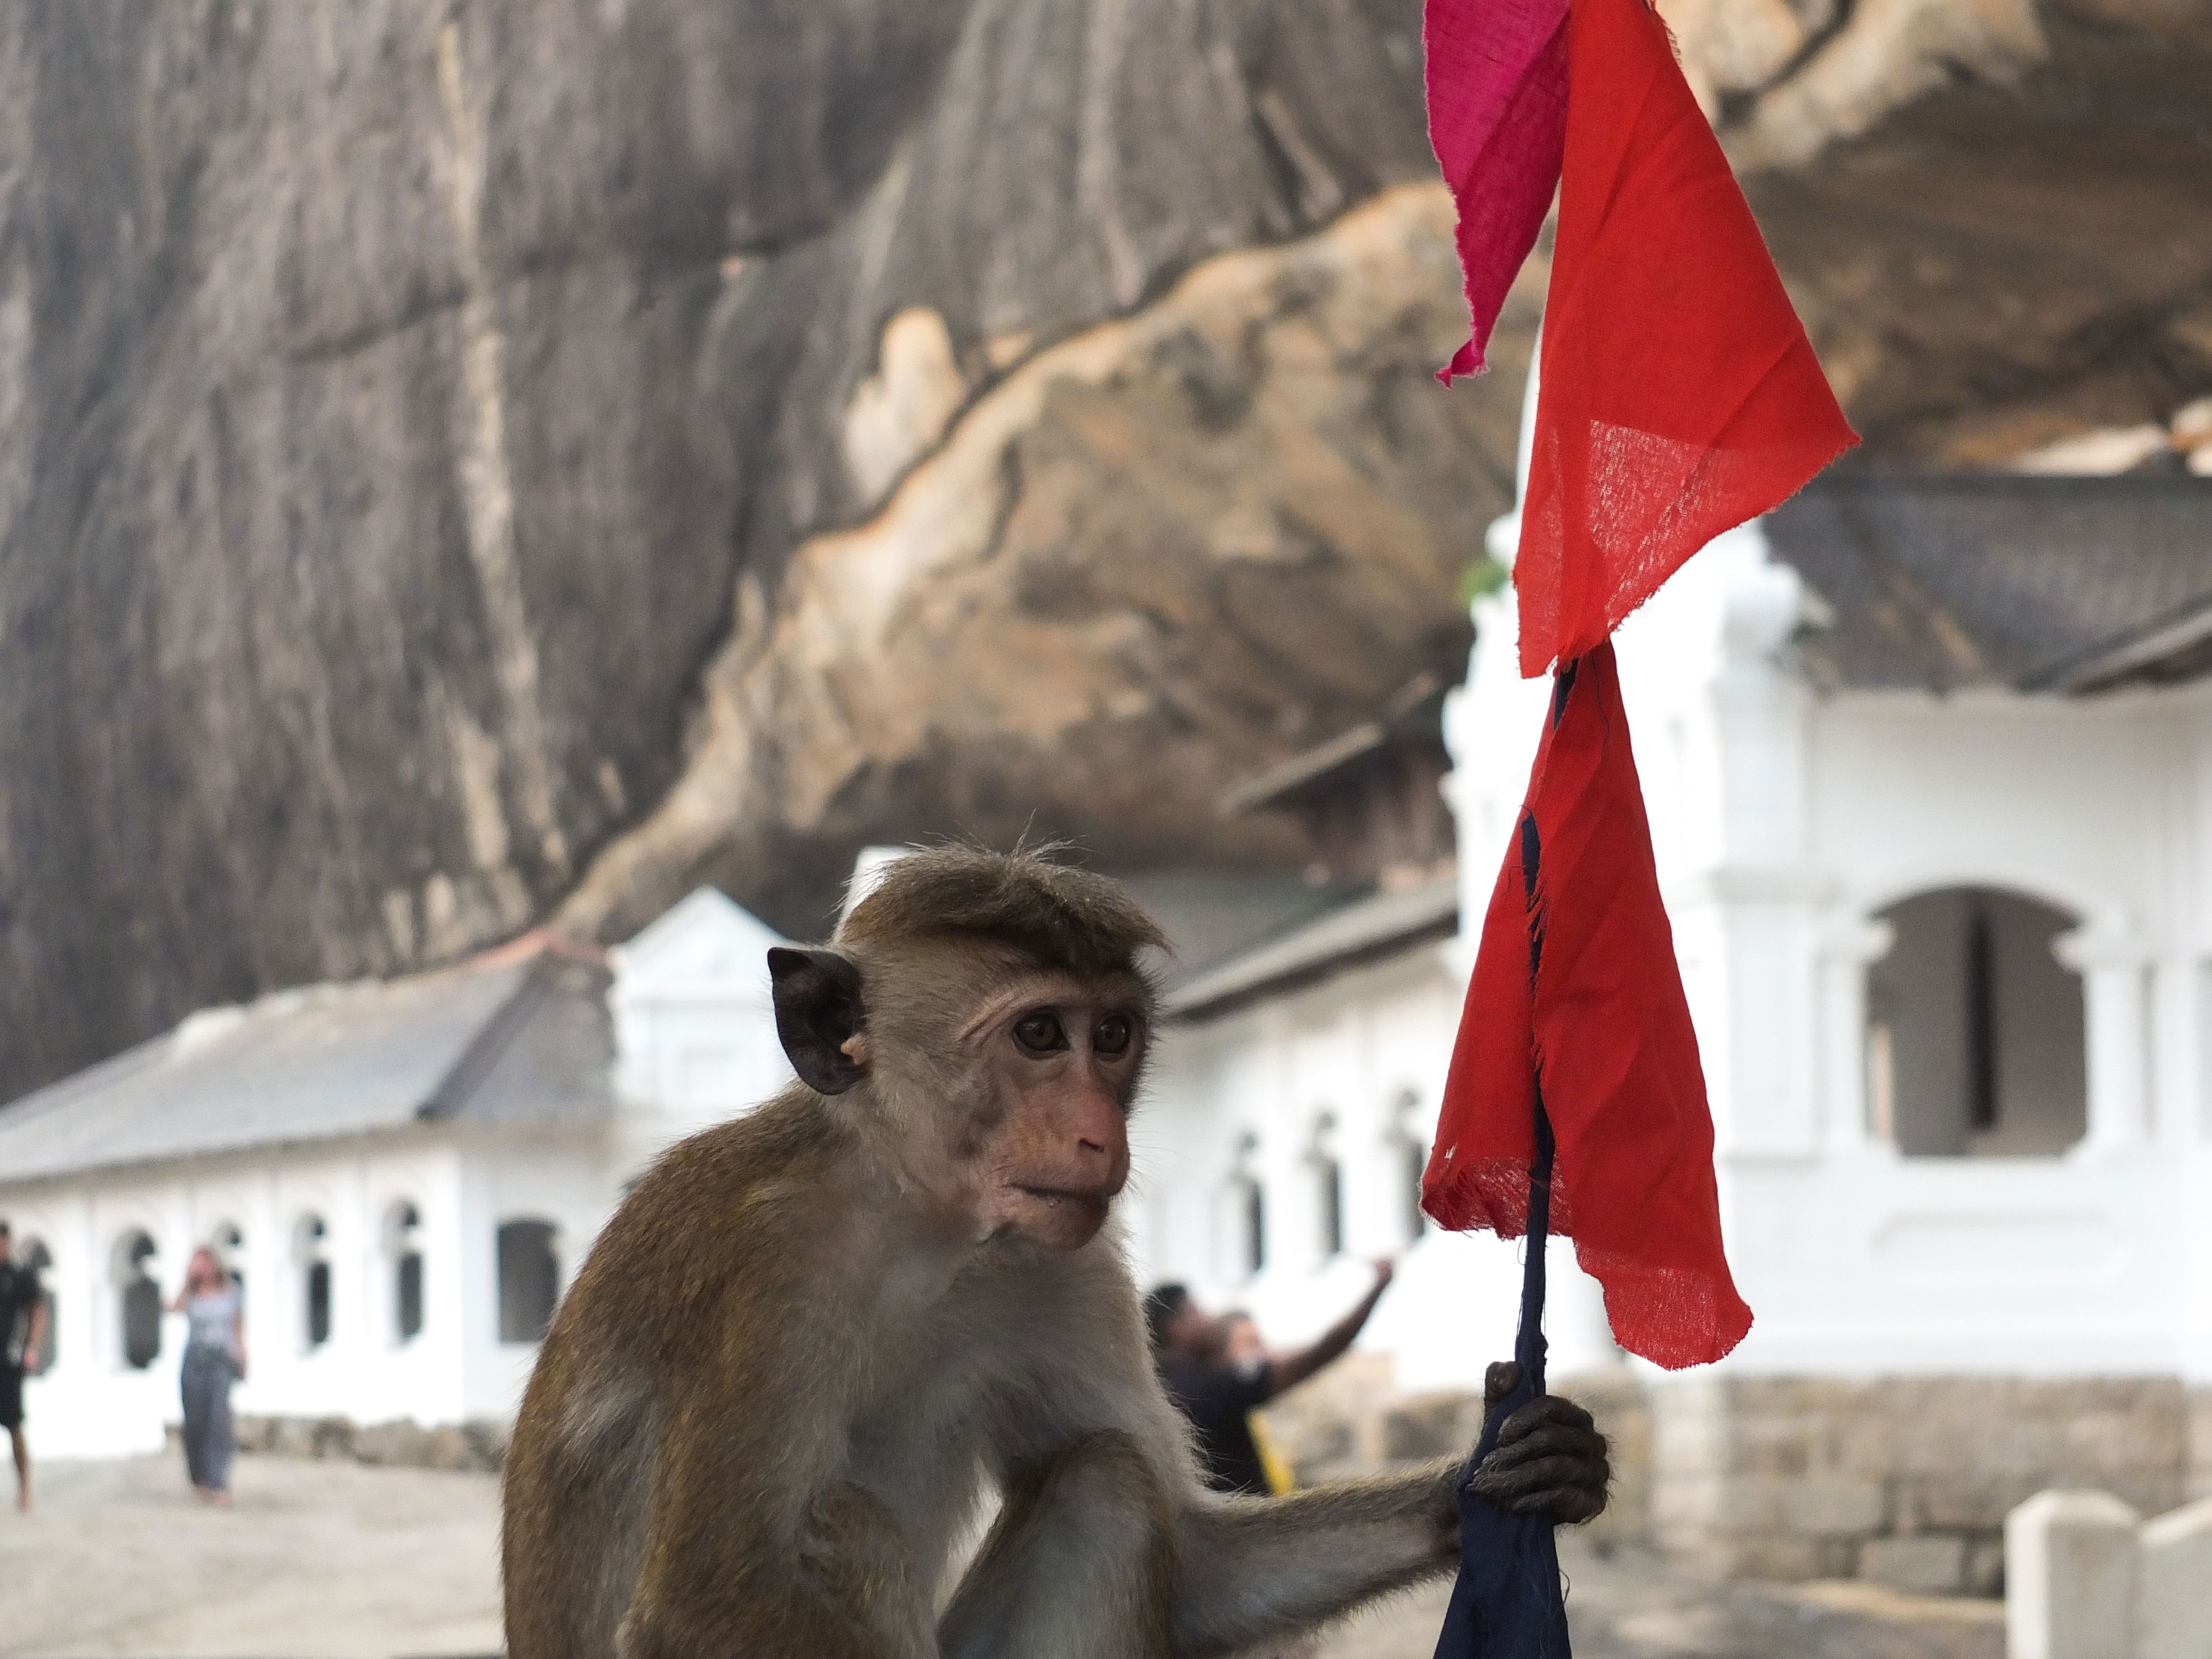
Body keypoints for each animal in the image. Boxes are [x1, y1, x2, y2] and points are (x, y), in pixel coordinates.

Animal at [502, 849, 1610, 1659]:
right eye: (1039, 1034)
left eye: (1111, 1036)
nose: (1096, 1135)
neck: (916, 1220)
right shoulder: (767, 1265)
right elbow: (703, 1601)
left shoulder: (1063, 1267)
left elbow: (1199, 1572)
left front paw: (1506, 1473)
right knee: (844, 1528)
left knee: (1106, 1485)